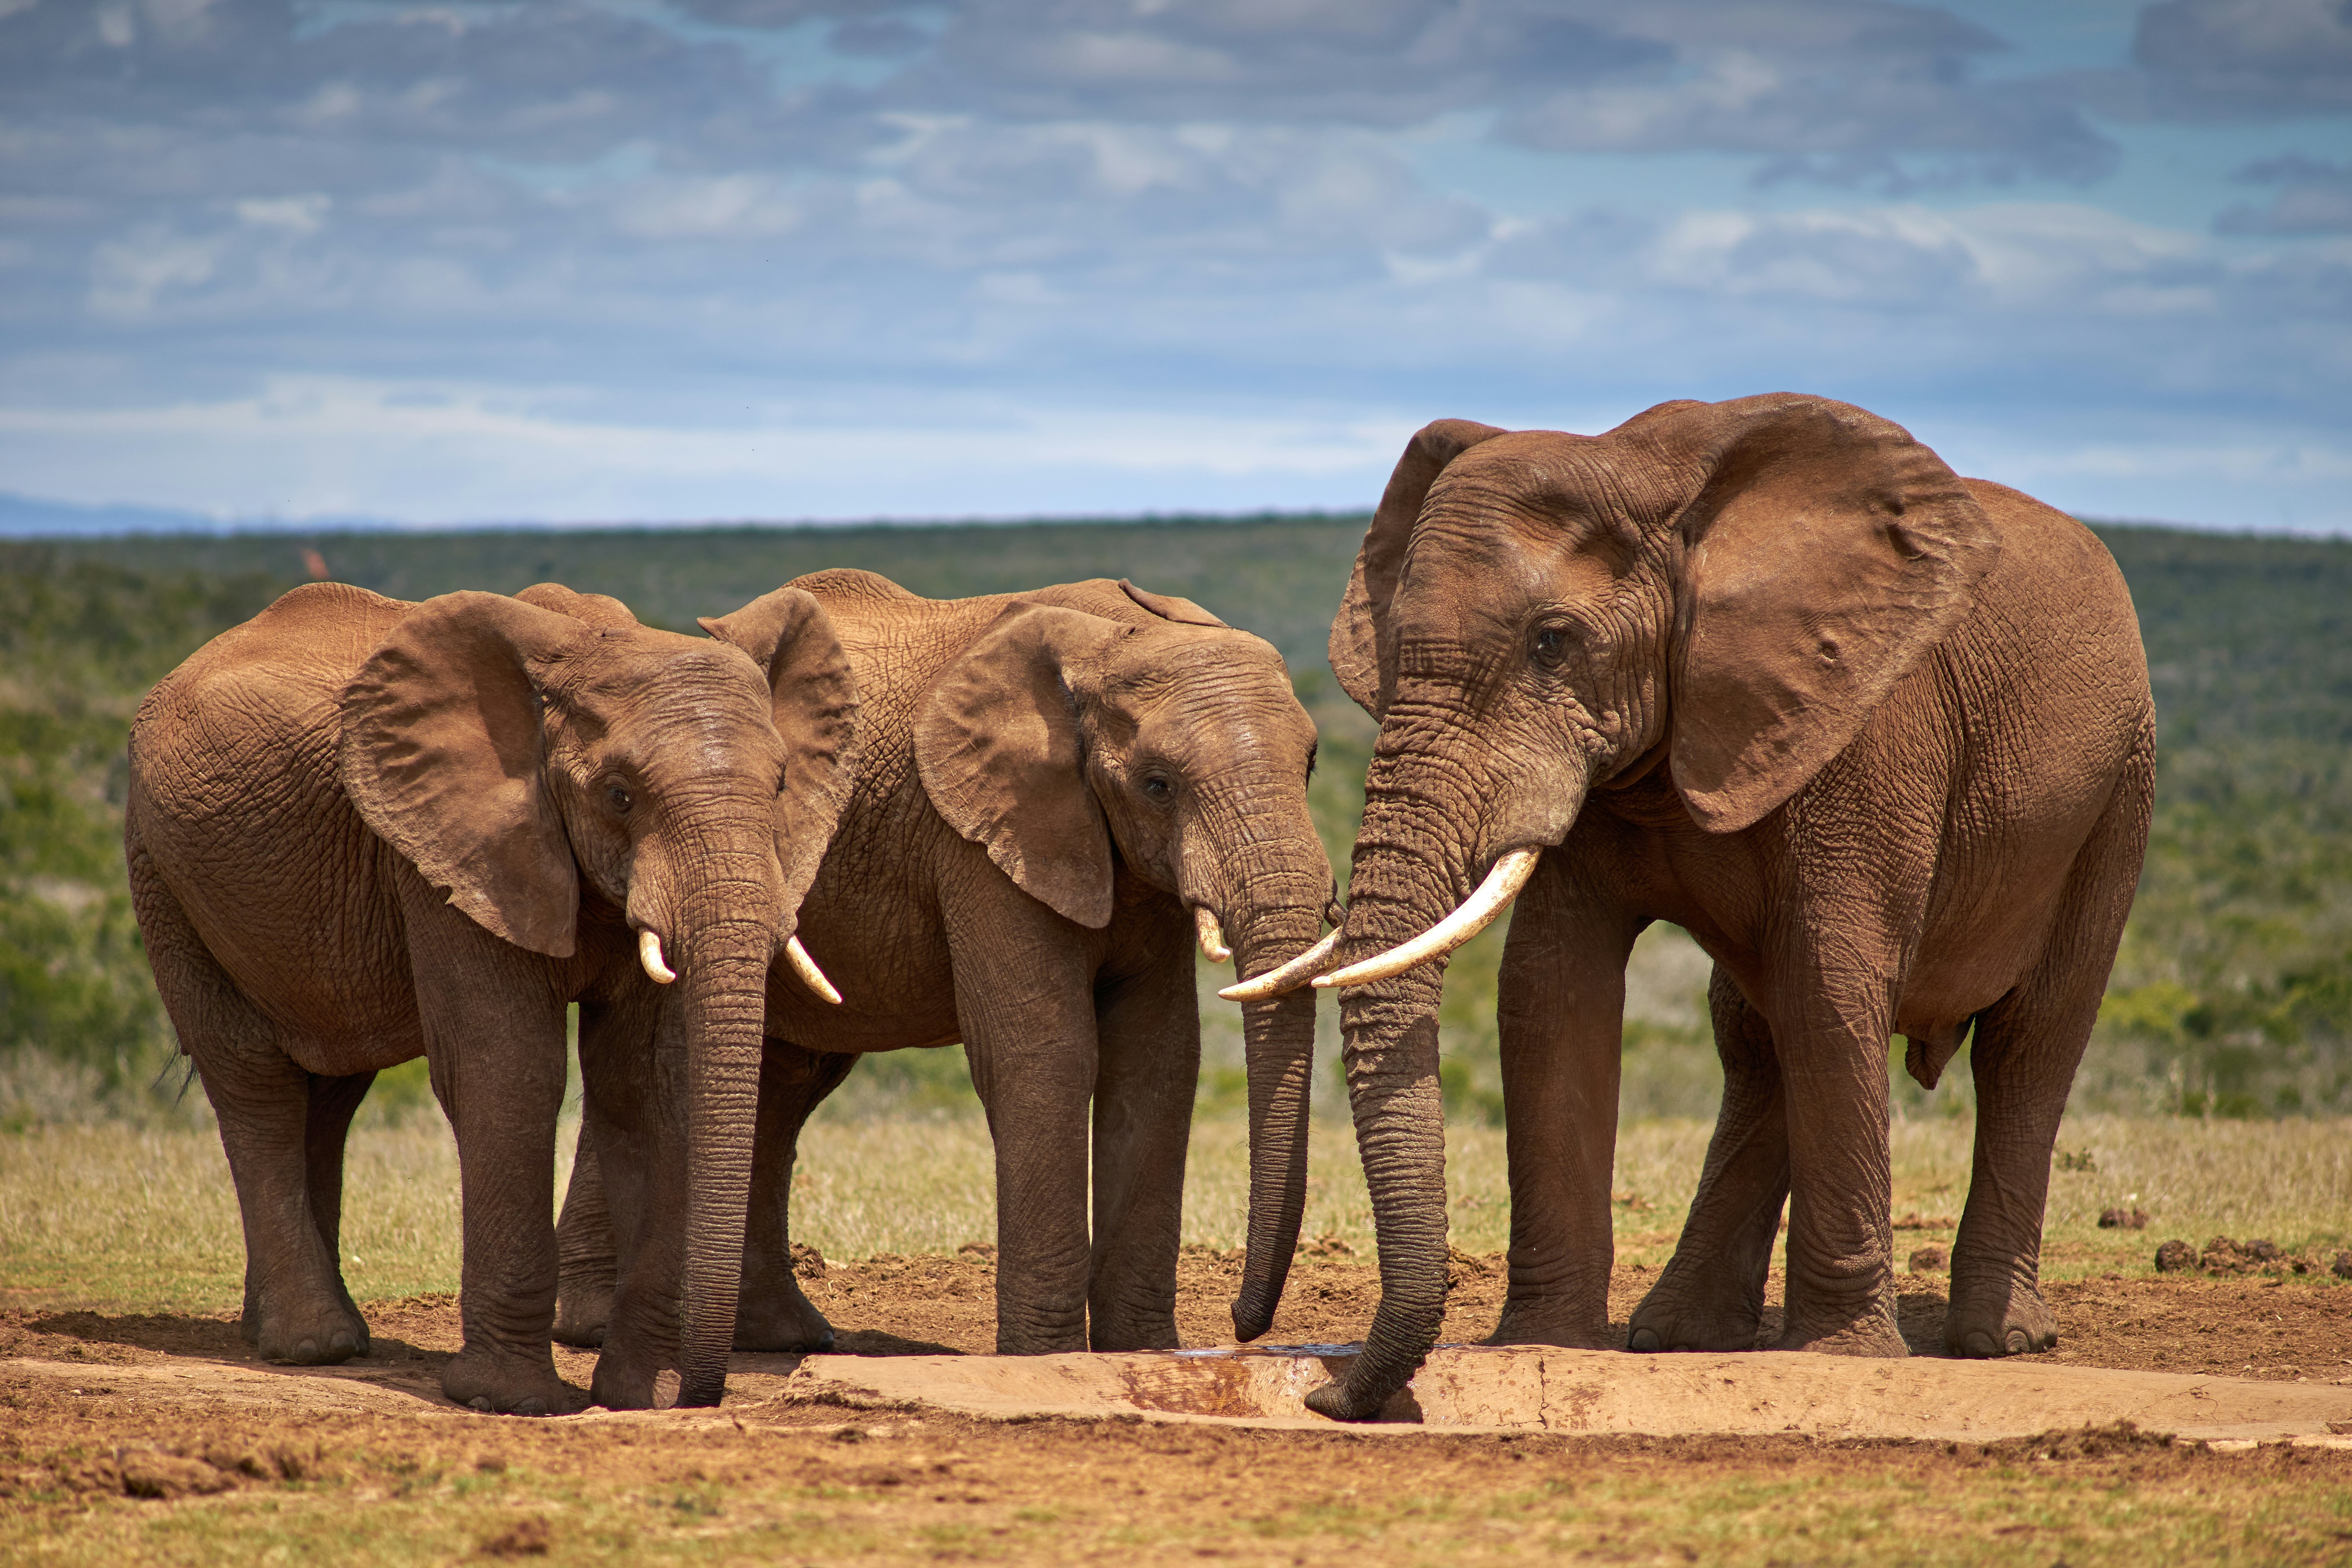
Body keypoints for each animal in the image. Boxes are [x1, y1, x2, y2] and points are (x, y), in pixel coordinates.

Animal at [124, 583, 861, 1420]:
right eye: (619, 796)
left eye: (780, 787)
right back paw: (314, 1346)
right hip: (161, 871)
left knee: (332, 1089)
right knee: (254, 1082)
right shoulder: (450, 852)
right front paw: (511, 1401)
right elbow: (510, 1071)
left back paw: (303, 1335)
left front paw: (637, 1393)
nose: (695, 1396)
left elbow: (646, 1083)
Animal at [1270, 395, 2154, 1420]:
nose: (1328, 1395)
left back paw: (1998, 1339)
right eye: (1396, 642)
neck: (1653, 481)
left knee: (2028, 1042)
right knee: (1757, 1035)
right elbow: (1549, 990)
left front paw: (1843, 1358)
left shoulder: (1863, 731)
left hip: (2118, 790)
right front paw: (1547, 1341)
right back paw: (1681, 1333)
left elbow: (1831, 986)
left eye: (1552, 642)